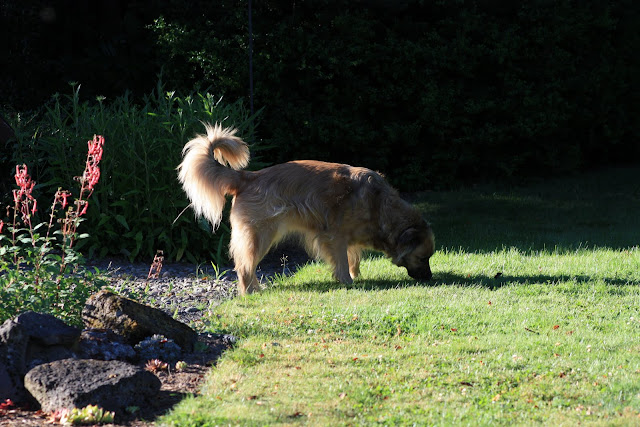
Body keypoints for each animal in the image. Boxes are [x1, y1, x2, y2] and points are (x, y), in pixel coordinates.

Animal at [178, 123, 435, 295]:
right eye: (423, 258)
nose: (430, 278)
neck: (379, 205)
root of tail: (248, 177)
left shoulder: (350, 238)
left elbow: (354, 258)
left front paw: (356, 275)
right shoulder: (335, 235)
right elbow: (342, 261)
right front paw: (347, 282)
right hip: (261, 236)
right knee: (244, 266)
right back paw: (251, 291)